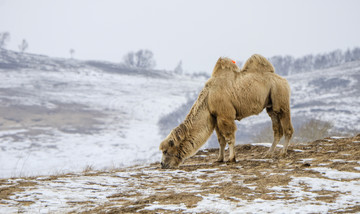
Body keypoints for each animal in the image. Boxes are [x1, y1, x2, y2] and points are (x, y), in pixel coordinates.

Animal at [159, 54, 294, 169]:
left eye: (165, 151)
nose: (162, 164)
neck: (208, 98)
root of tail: (284, 80)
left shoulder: (225, 115)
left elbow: (229, 137)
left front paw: (231, 159)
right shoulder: (216, 117)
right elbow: (221, 140)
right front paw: (219, 159)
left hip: (280, 97)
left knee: (287, 128)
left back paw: (282, 153)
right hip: (271, 106)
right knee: (277, 129)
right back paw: (269, 154)